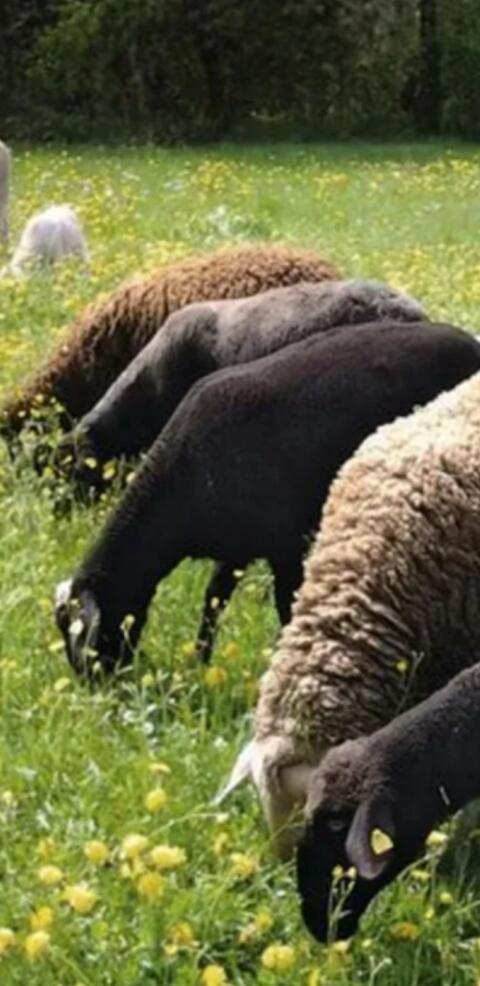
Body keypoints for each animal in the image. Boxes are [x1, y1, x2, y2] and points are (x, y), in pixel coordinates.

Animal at [52, 319, 480, 671]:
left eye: (87, 637)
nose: (101, 689)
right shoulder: (236, 547)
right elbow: (214, 600)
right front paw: (200, 663)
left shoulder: (284, 544)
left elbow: (284, 602)